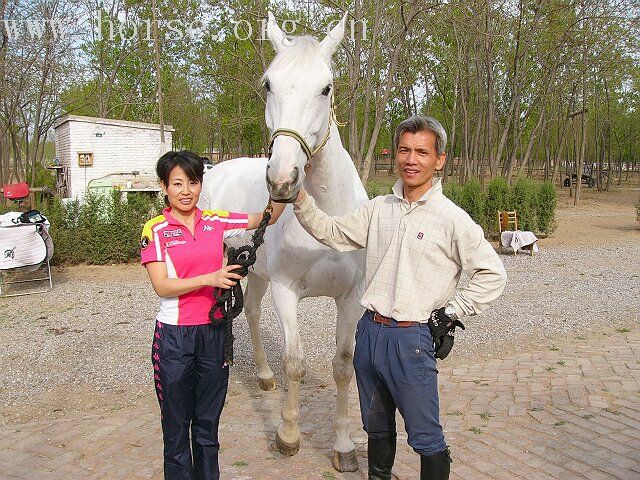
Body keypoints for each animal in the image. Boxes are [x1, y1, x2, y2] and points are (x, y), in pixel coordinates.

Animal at [200, 12, 370, 472]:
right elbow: (294, 364)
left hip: (253, 270)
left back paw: (263, 375)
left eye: (326, 87)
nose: (282, 180)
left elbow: (344, 366)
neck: (329, 221)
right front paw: (288, 435)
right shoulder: (286, 291)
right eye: (268, 84)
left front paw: (343, 446)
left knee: (252, 312)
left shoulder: (350, 297)